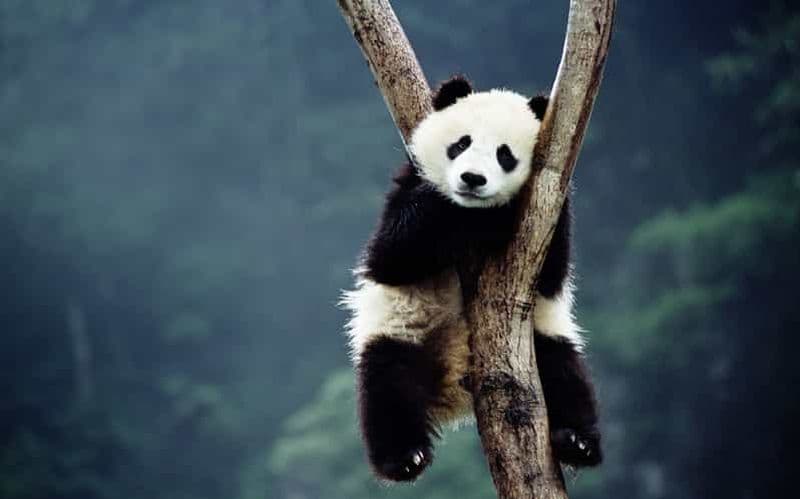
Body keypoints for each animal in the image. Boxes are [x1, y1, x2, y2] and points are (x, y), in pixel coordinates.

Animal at [341, 76, 601, 482]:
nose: (472, 179)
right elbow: (391, 254)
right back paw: (404, 458)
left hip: (541, 341)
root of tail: (454, 388)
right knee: (387, 387)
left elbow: (551, 274)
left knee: (564, 374)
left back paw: (578, 442)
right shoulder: (407, 188)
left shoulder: (548, 210)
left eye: (504, 154)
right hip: (402, 331)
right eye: (461, 143)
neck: (472, 214)